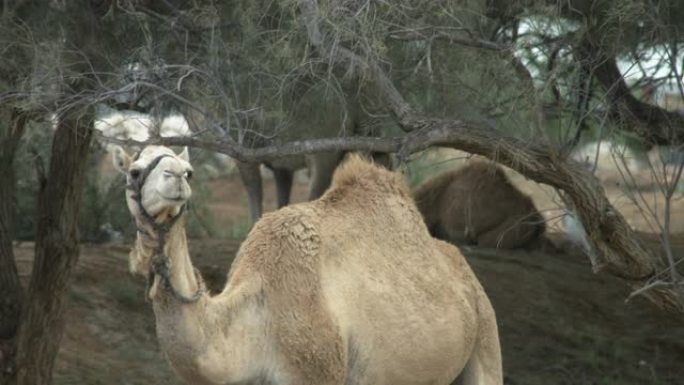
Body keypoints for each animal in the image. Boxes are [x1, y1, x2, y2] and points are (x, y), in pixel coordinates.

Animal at [113, 144, 502, 384]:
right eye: (134, 171)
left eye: (190, 171)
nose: (176, 175)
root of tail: (467, 274)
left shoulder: (318, 369)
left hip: (485, 334)